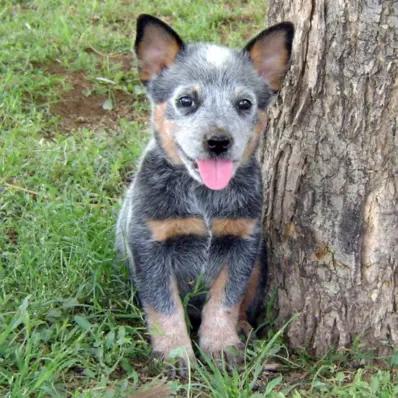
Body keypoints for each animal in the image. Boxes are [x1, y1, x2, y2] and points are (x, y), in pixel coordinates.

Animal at [116, 12, 294, 374]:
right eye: (186, 101)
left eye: (244, 103)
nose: (218, 141)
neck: (204, 200)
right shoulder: (150, 246)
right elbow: (165, 308)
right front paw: (175, 353)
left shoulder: (242, 242)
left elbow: (224, 302)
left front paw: (221, 346)